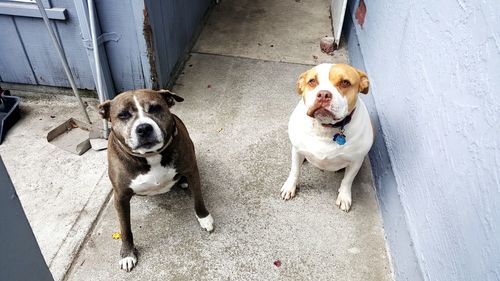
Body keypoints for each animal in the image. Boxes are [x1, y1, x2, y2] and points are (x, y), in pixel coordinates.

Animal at [280, 61, 374, 210]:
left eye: (345, 83)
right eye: (312, 81)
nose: (323, 94)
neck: (324, 127)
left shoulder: (356, 161)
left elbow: (347, 180)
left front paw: (344, 196)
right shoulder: (296, 150)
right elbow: (294, 171)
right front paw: (290, 187)